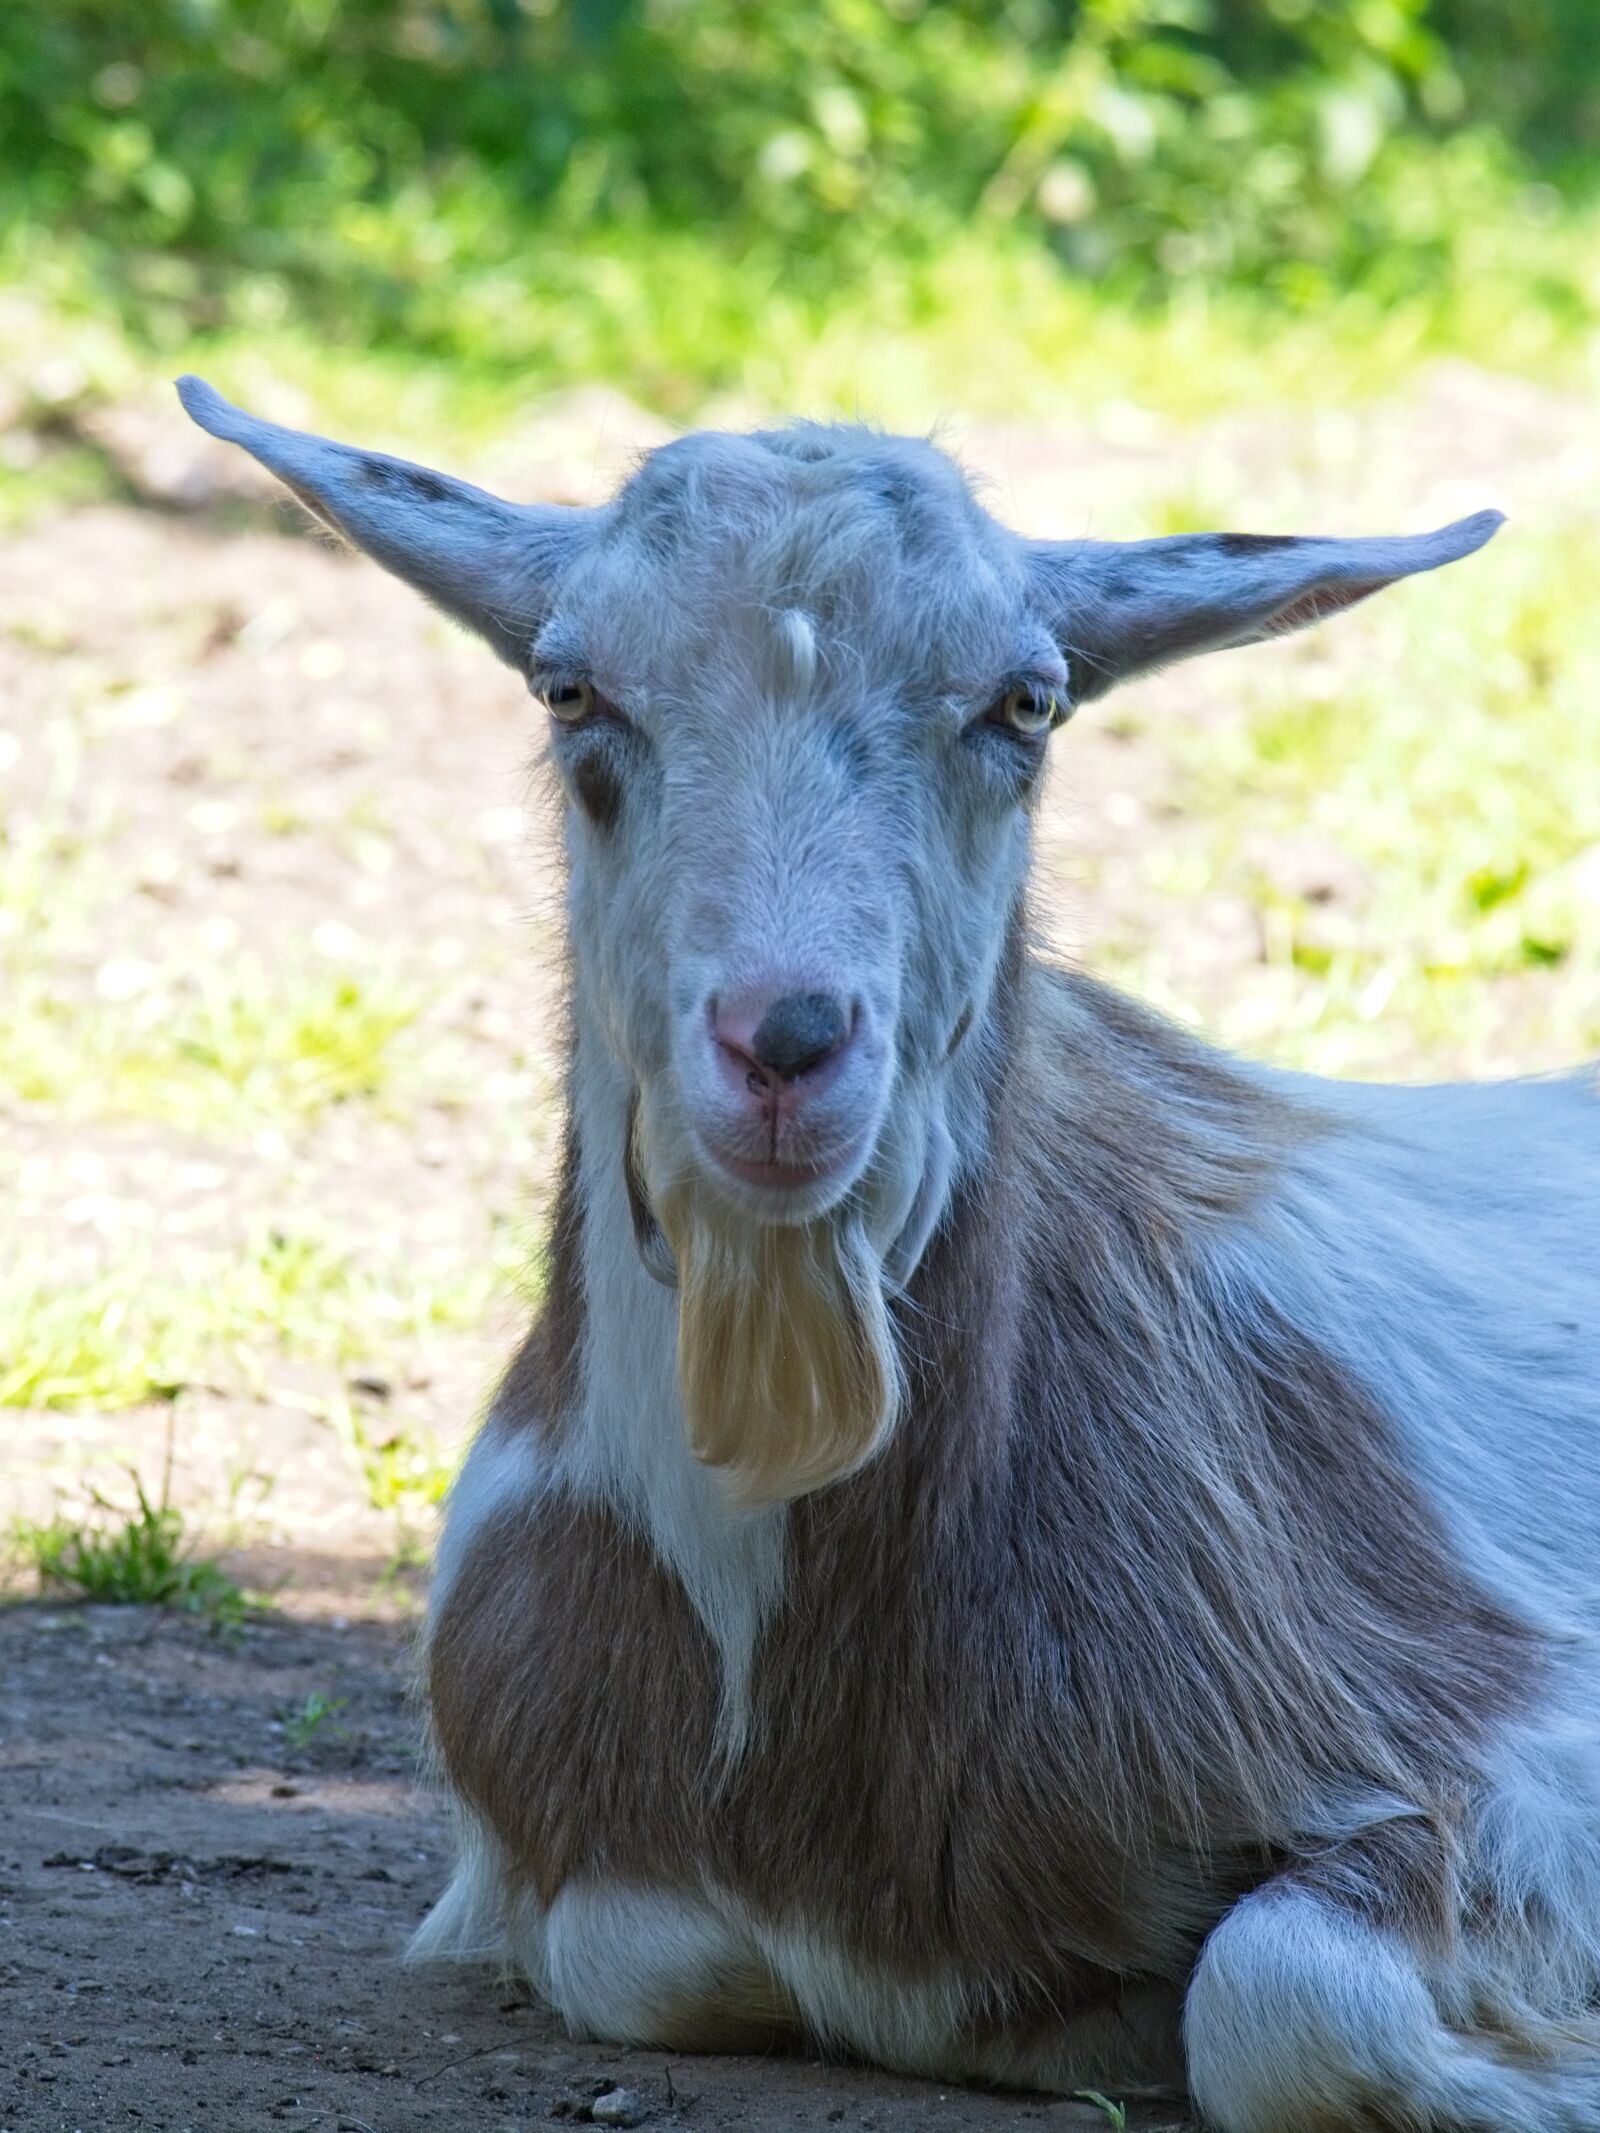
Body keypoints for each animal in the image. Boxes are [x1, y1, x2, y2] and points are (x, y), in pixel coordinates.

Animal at [180, 374, 1600, 2132]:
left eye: (1028, 704)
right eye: (570, 689)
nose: (786, 1042)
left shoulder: (1516, 1744)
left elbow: (1275, 1999)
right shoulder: (594, 1886)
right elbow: (656, 1957)